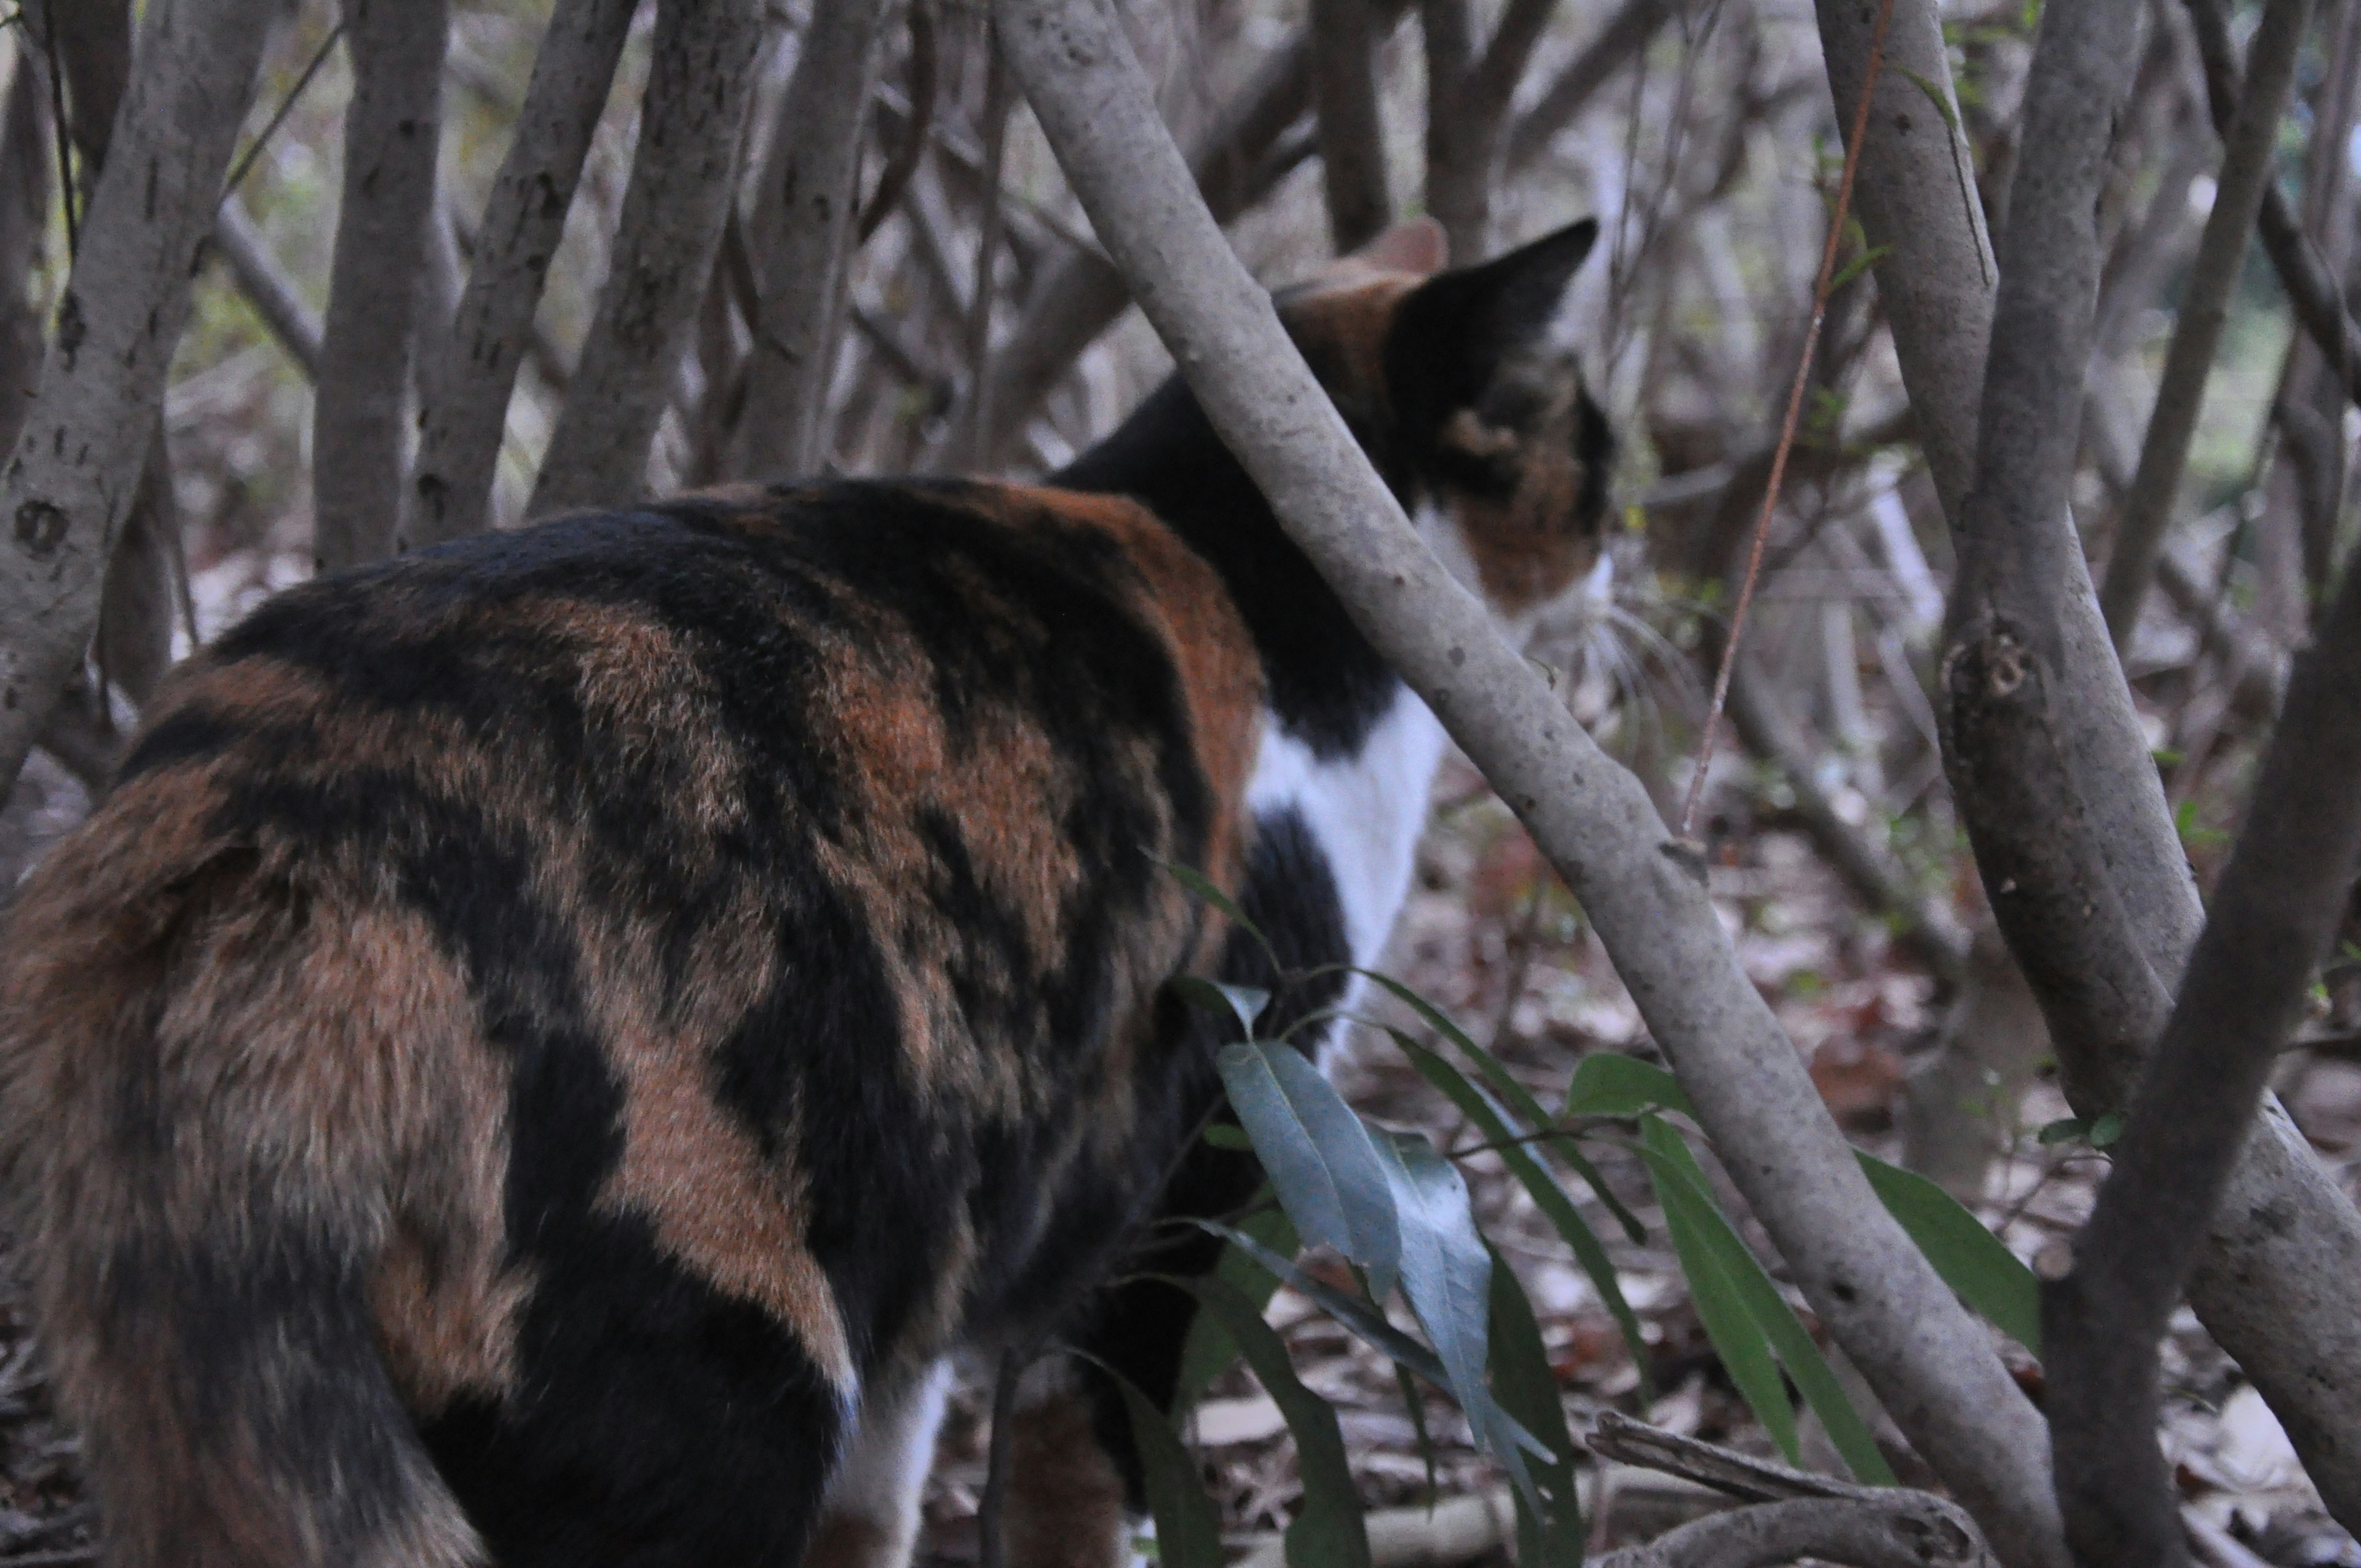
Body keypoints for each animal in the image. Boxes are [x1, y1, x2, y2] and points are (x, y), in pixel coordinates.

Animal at [0, 211, 1615, 1568]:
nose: (1629, 538)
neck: (1242, 560)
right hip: (717, 1352)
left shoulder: (938, 1246)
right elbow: (1088, 1470)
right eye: (1592, 438)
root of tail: (251, 835)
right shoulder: (1205, 1162)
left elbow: (881, 1501)